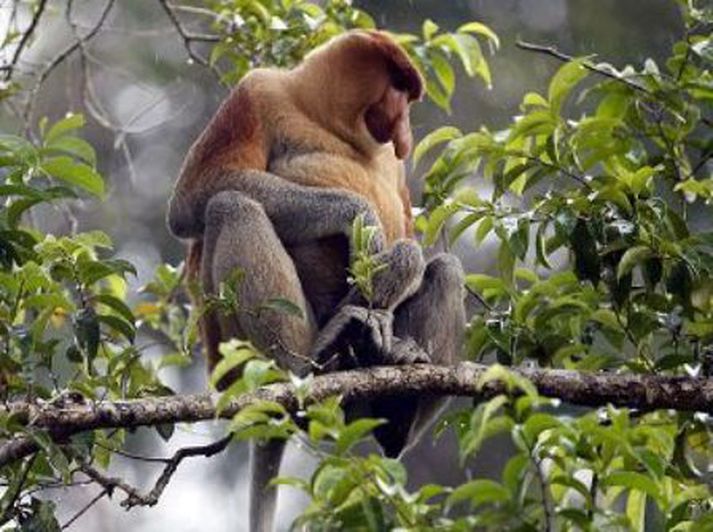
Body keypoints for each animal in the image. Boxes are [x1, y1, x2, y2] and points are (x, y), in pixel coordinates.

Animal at [167, 30, 468, 532]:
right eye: (399, 87)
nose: (405, 130)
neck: (326, 120)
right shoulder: (257, 93)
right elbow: (195, 196)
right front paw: (361, 219)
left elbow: (410, 244)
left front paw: (396, 268)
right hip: (228, 360)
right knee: (230, 205)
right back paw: (311, 361)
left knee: (447, 269)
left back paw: (394, 393)